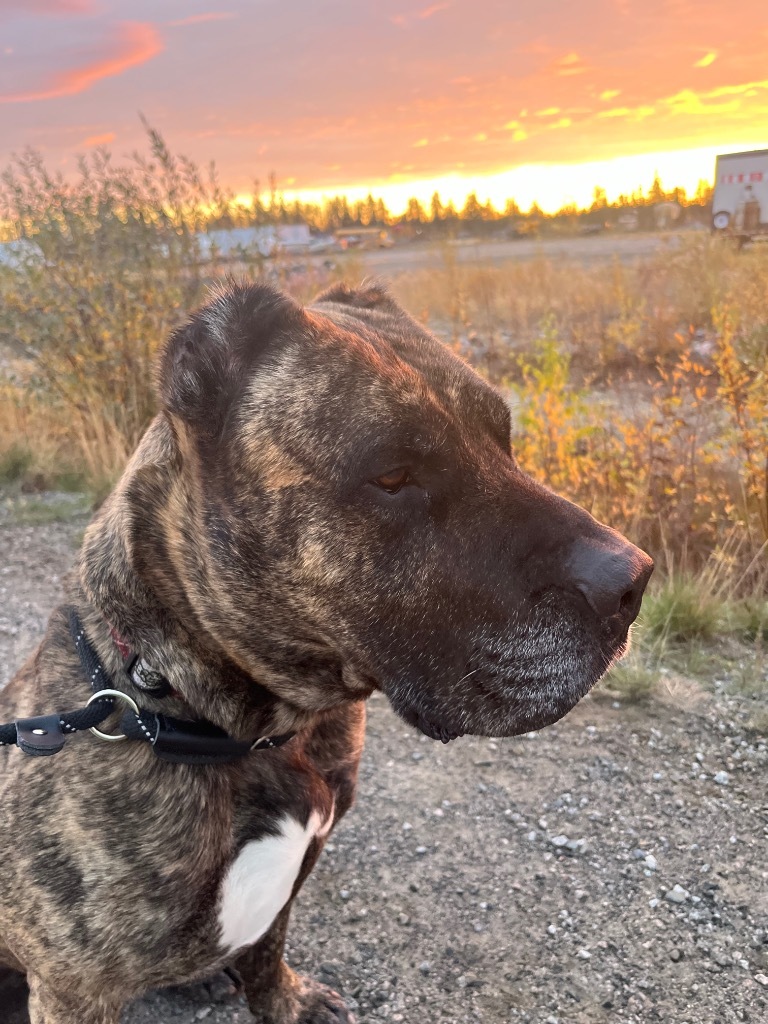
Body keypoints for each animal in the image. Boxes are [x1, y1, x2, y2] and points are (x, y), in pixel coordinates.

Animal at [0, 282, 655, 1024]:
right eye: (393, 476)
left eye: (504, 439)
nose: (632, 580)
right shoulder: (75, 987)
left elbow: (268, 947)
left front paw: (286, 998)